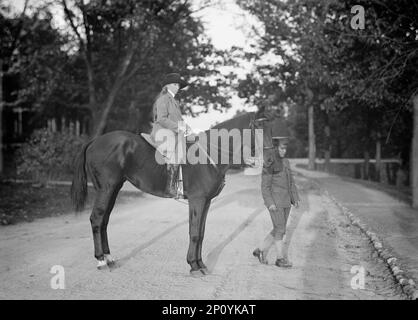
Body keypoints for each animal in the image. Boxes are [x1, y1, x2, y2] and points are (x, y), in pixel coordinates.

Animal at [69, 110, 272, 276]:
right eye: (259, 128)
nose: (270, 159)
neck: (209, 155)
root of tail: (95, 141)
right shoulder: (197, 200)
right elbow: (194, 233)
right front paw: (193, 266)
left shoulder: (205, 202)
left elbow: (201, 232)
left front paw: (200, 264)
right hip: (106, 188)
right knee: (96, 219)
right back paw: (101, 260)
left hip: (114, 188)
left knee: (104, 221)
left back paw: (109, 258)